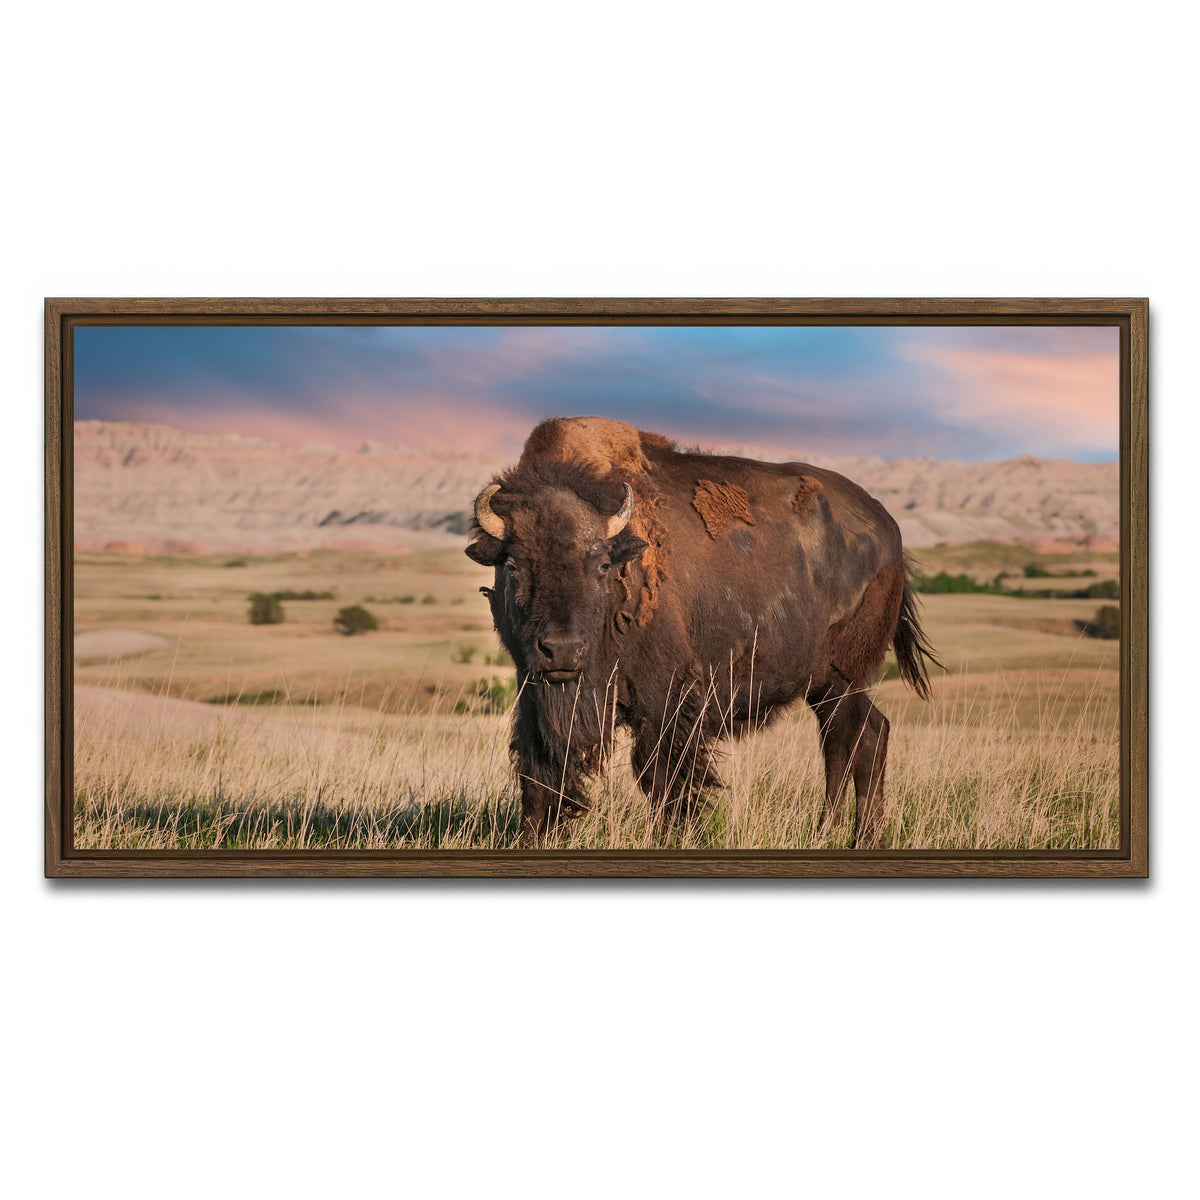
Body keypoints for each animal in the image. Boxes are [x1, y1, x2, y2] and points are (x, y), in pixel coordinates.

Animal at [465, 416, 939, 849]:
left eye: (601, 564)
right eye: (513, 565)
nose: (562, 650)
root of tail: (891, 533)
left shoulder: (666, 699)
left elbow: (664, 778)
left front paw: (675, 836)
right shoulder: (533, 693)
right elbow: (538, 773)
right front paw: (534, 840)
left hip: (843, 680)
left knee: (853, 740)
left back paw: (856, 837)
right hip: (827, 686)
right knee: (860, 738)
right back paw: (838, 835)